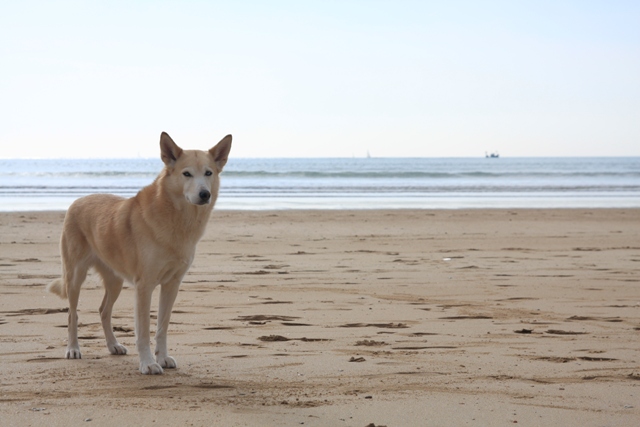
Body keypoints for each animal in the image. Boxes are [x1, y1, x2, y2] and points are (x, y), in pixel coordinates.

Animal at [47, 132, 232, 376]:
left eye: (208, 173)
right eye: (187, 174)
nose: (204, 194)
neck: (177, 218)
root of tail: (78, 200)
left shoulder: (172, 284)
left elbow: (162, 326)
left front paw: (162, 358)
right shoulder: (145, 286)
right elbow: (143, 330)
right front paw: (147, 364)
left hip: (114, 281)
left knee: (104, 311)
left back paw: (113, 345)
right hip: (75, 277)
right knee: (72, 314)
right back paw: (73, 349)